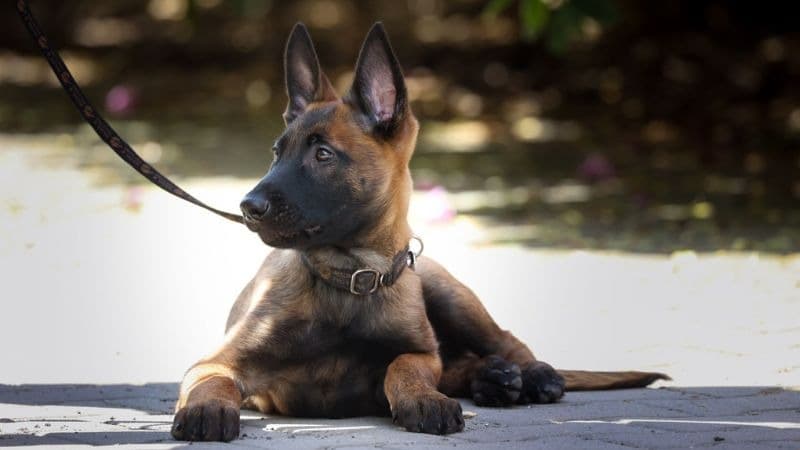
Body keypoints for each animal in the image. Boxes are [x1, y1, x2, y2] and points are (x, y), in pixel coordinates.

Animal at [170, 22, 668, 442]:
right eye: (277, 153)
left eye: (323, 155)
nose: (248, 207)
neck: (351, 278)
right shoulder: (218, 362)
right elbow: (211, 382)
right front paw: (205, 410)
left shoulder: (419, 353)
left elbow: (404, 366)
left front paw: (424, 399)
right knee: (464, 362)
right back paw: (495, 379)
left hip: (447, 291)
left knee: (505, 342)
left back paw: (534, 375)